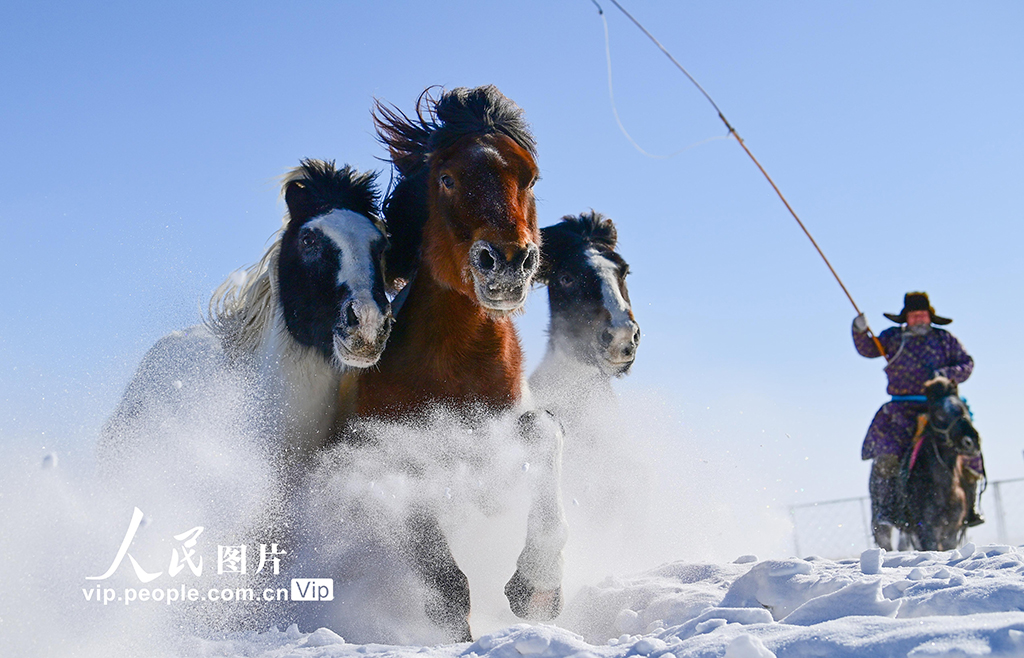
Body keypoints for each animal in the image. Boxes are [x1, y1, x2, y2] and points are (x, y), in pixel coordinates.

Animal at [337, 86, 566, 642]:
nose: (507, 262)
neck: (457, 365)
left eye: (529, 177)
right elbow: (442, 579)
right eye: (447, 178)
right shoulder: (394, 453)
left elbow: (544, 431)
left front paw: (538, 587)